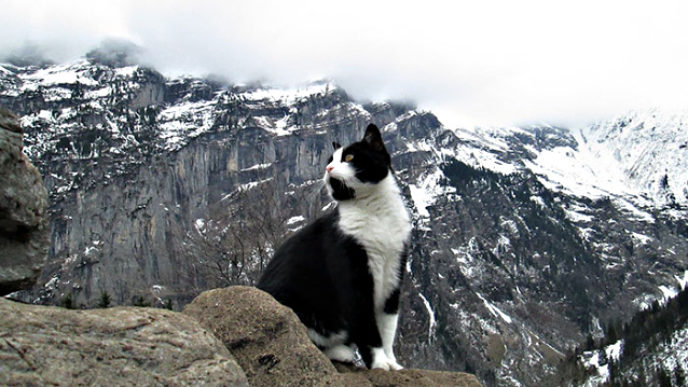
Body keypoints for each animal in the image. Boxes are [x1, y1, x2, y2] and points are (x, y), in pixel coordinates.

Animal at [256, 123, 408, 370]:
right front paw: (378, 363)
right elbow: (367, 326)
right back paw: (341, 352)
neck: (375, 213)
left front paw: (391, 362)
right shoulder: (352, 275)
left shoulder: (394, 273)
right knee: (301, 340)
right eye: (329, 159)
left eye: (349, 157)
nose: (328, 167)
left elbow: (387, 327)